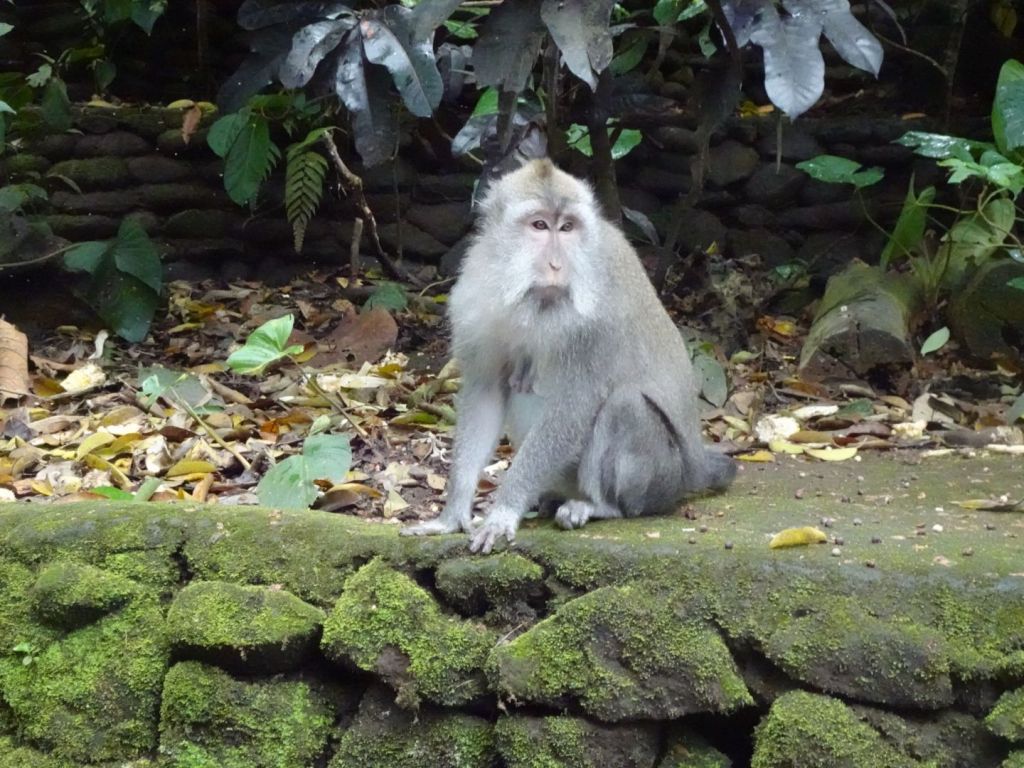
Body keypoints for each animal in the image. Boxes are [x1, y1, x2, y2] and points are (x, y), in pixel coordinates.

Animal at [401, 158, 736, 554]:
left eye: (567, 227)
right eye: (539, 225)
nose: (557, 265)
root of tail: (695, 469)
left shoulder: (597, 321)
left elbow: (576, 403)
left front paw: (504, 511)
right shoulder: (476, 296)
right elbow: (486, 392)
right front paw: (452, 515)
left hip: (664, 480)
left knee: (625, 406)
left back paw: (601, 506)